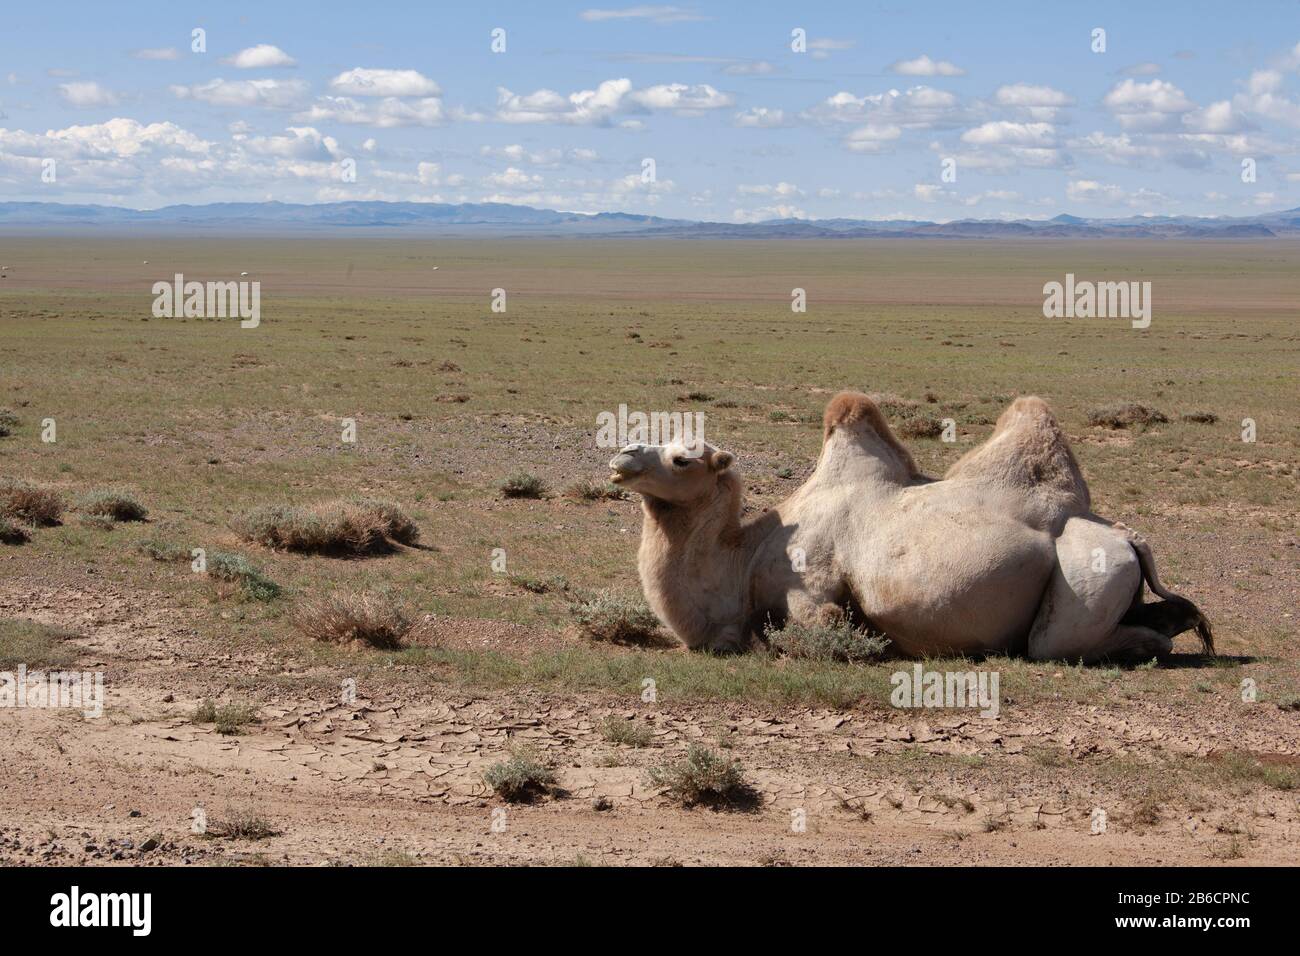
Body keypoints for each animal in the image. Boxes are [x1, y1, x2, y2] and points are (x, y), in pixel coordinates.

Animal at [608, 392, 1212, 663]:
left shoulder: (811, 588)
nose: (624, 454)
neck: (746, 556)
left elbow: (814, 627)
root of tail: (1127, 535)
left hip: (1087, 573)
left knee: (1064, 642)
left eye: (683, 459)